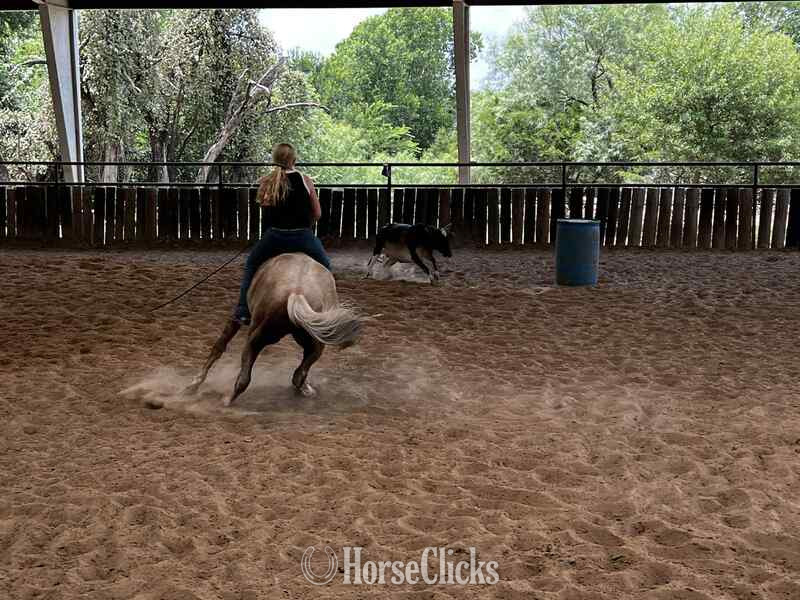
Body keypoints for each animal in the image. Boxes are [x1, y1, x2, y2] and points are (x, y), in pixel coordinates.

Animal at [185, 253, 363, 406]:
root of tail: (297, 292)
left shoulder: (236, 318)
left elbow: (219, 347)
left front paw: (194, 384)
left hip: (255, 338)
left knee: (244, 378)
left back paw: (226, 400)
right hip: (315, 344)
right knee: (299, 374)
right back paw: (305, 390)